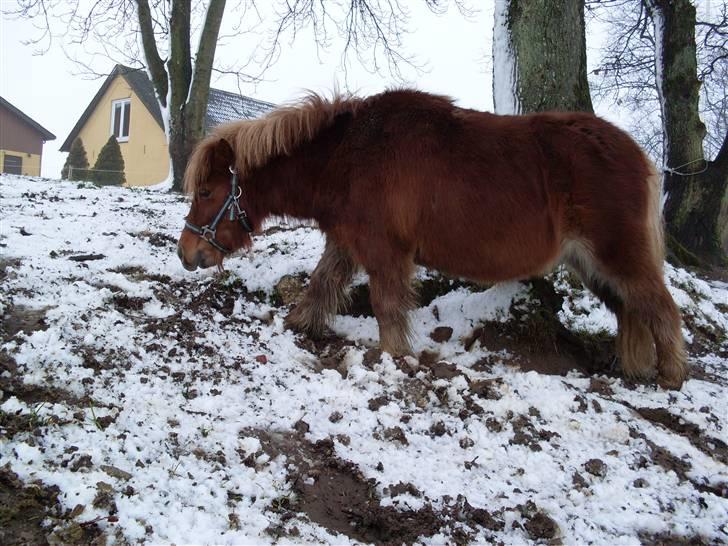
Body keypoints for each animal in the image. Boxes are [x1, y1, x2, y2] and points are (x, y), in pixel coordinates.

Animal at [176, 89, 688, 386]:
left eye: (205, 191)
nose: (186, 253)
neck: (347, 155)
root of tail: (639, 156)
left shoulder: (385, 253)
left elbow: (386, 307)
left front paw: (395, 358)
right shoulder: (346, 243)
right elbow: (321, 286)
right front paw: (297, 325)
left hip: (618, 256)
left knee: (660, 309)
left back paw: (670, 377)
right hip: (590, 263)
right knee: (631, 311)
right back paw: (632, 369)